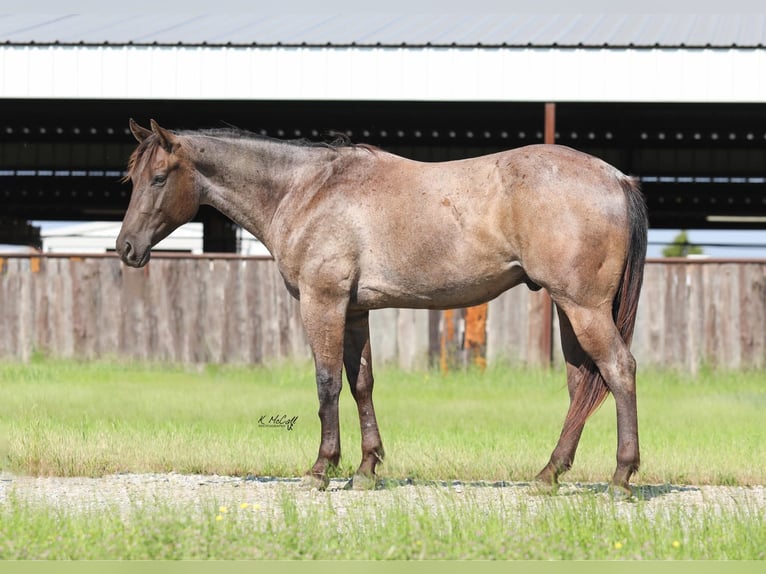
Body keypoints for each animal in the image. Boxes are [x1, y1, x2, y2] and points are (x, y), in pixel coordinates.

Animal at [118, 120, 648, 496]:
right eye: (132, 177)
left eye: (159, 178)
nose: (126, 248)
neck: (308, 191)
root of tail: (617, 177)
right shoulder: (354, 311)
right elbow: (361, 383)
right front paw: (367, 467)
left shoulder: (323, 303)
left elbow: (327, 383)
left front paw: (321, 468)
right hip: (568, 308)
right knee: (582, 383)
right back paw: (549, 474)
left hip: (583, 307)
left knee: (619, 369)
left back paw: (621, 477)